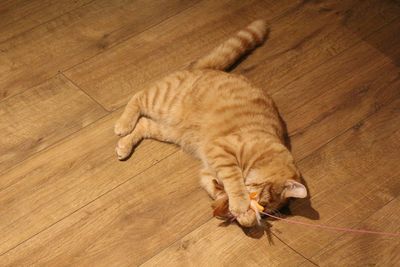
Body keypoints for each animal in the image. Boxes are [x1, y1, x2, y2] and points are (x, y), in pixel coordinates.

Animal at [114, 19, 308, 227]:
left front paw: (242, 214)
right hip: (161, 101)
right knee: (138, 97)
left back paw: (124, 146)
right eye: (262, 198)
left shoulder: (208, 173)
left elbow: (218, 188)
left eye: (265, 207)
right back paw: (122, 125)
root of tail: (205, 68)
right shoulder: (222, 150)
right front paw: (240, 203)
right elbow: (234, 180)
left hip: (170, 130)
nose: (256, 203)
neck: (265, 151)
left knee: (143, 123)